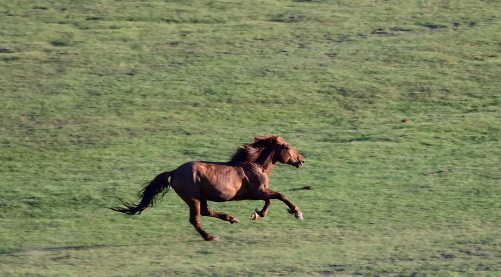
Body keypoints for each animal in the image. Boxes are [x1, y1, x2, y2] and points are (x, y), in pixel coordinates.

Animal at [109, 135, 304, 240]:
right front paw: (297, 213)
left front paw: (257, 214)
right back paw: (210, 236)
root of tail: (174, 172)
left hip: (200, 197)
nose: (301, 161)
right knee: (196, 218)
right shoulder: (258, 192)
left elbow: (270, 201)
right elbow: (280, 196)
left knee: (206, 212)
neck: (255, 166)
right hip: (193, 198)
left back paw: (232, 219)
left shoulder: (260, 193)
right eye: (286, 146)